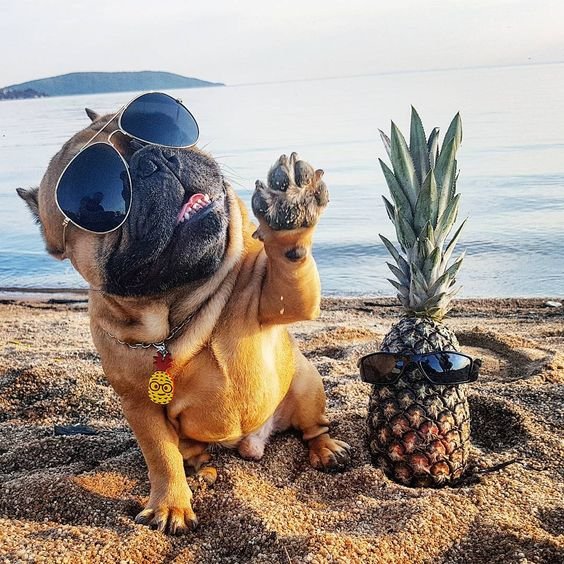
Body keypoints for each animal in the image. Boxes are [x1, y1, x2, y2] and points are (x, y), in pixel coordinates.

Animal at [17, 106, 350, 532]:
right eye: (95, 201)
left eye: (159, 129)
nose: (153, 158)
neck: (178, 306)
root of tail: (252, 442)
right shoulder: (140, 409)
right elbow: (161, 457)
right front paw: (171, 504)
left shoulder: (278, 299)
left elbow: (289, 263)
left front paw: (289, 205)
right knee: (190, 453)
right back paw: (202, 470)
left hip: (307, 385)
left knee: (313, 427)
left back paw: (326, 449)